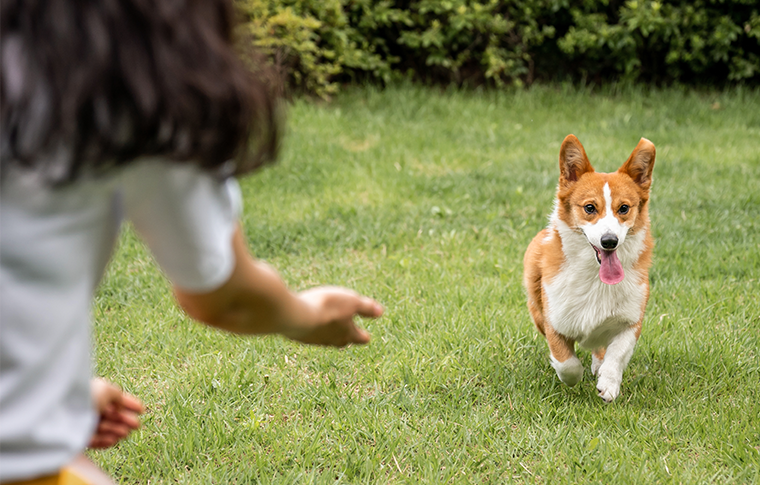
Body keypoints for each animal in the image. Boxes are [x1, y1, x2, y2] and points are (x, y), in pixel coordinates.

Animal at [524, 133, 656, 400]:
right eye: (589, 208)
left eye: (623, 208)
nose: (609, 241)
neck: (597, 279)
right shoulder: (555, 321)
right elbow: (567, 362)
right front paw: (573, 378)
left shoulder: (631, 321)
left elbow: (616, 354)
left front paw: (609, 384)